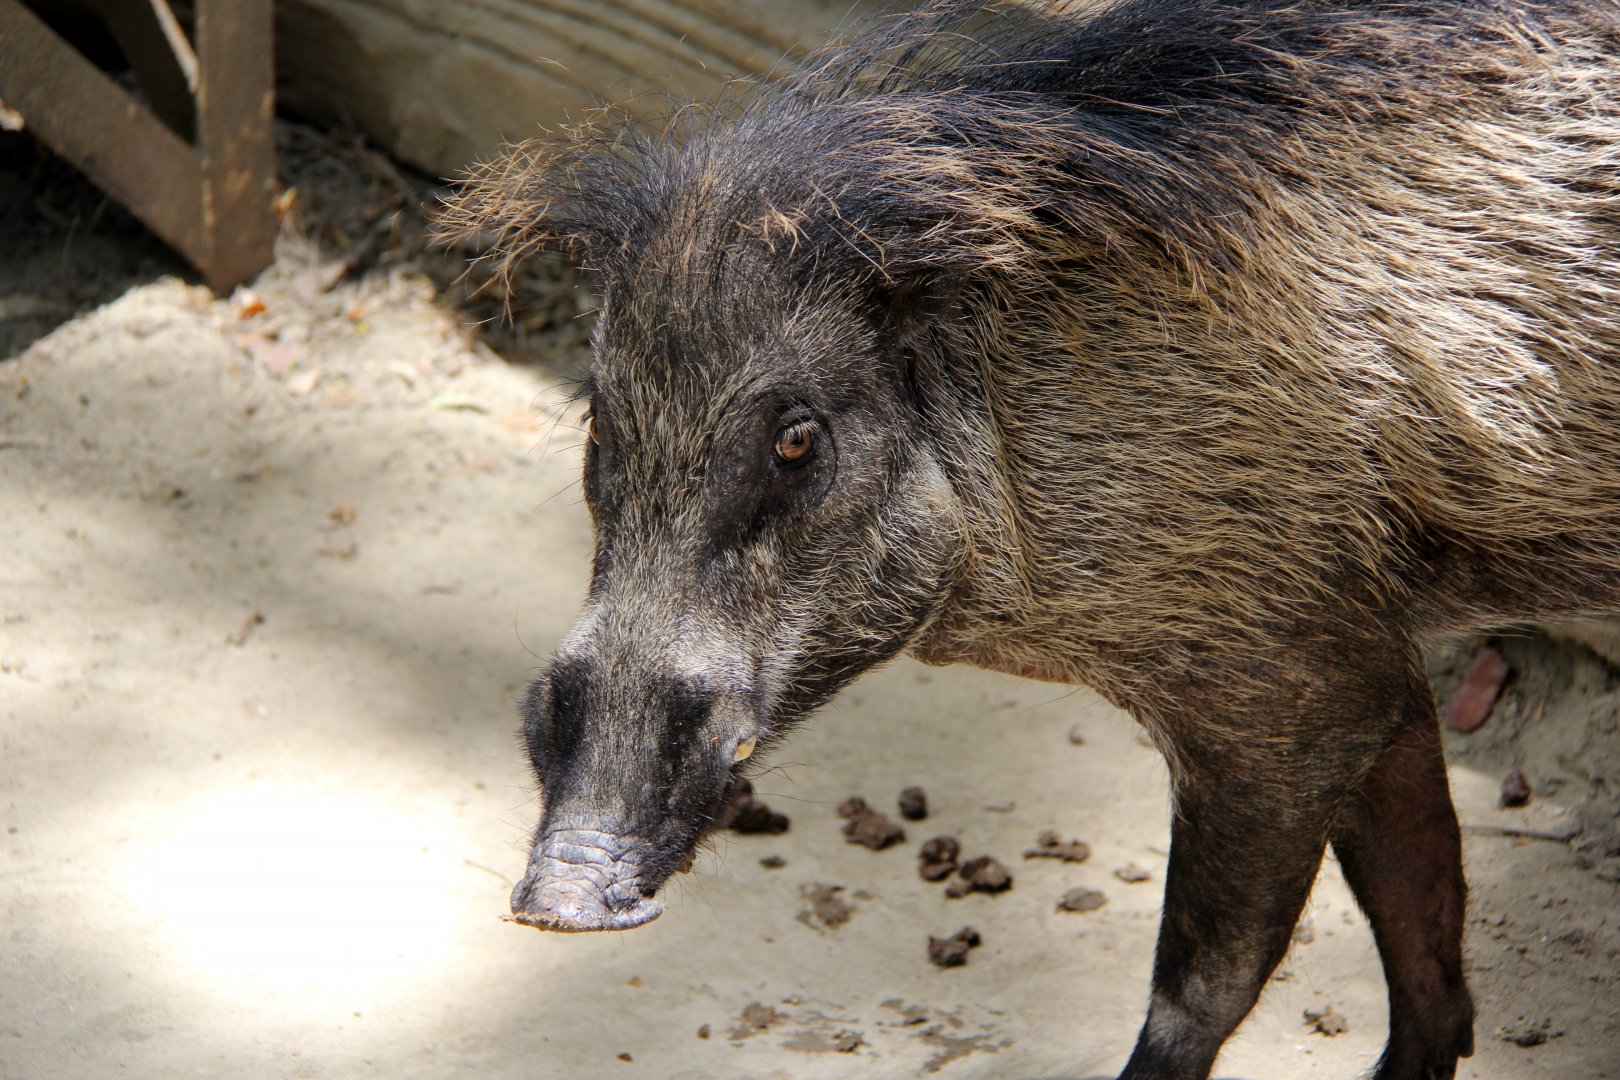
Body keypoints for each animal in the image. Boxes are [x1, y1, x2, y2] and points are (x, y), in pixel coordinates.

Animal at [441, 1, 1620, 1077]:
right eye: (600, 424)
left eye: (796, 440)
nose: (556, 900)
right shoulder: (1373, 662)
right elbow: (1422, 919)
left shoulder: (1287, 688)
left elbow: (1205, 987)